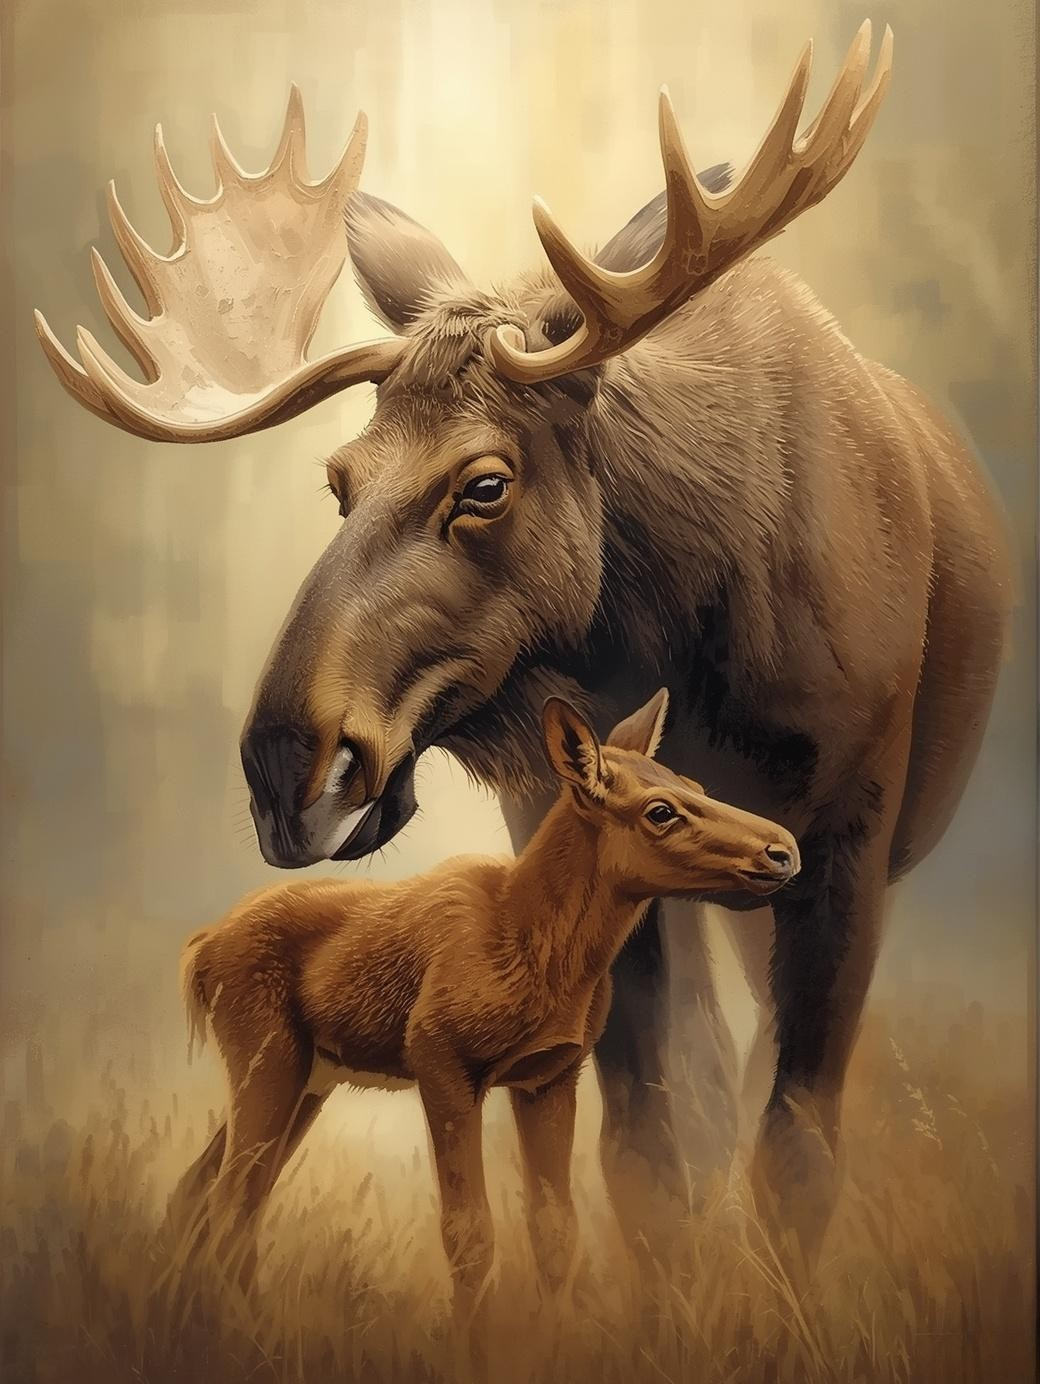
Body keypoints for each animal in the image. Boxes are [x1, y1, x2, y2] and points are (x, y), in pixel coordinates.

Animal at [168, 690, 798, 1325]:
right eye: (661, 810)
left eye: (694, 782)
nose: (783, 849)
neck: (544, 955)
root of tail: (199, 952)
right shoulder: (439, 1059)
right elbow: (468, 1235)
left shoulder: (549, 1077)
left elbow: (555, 1232)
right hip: (268, 1060)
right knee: (230, 1199)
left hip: (309, 1079)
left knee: (205, 1189)